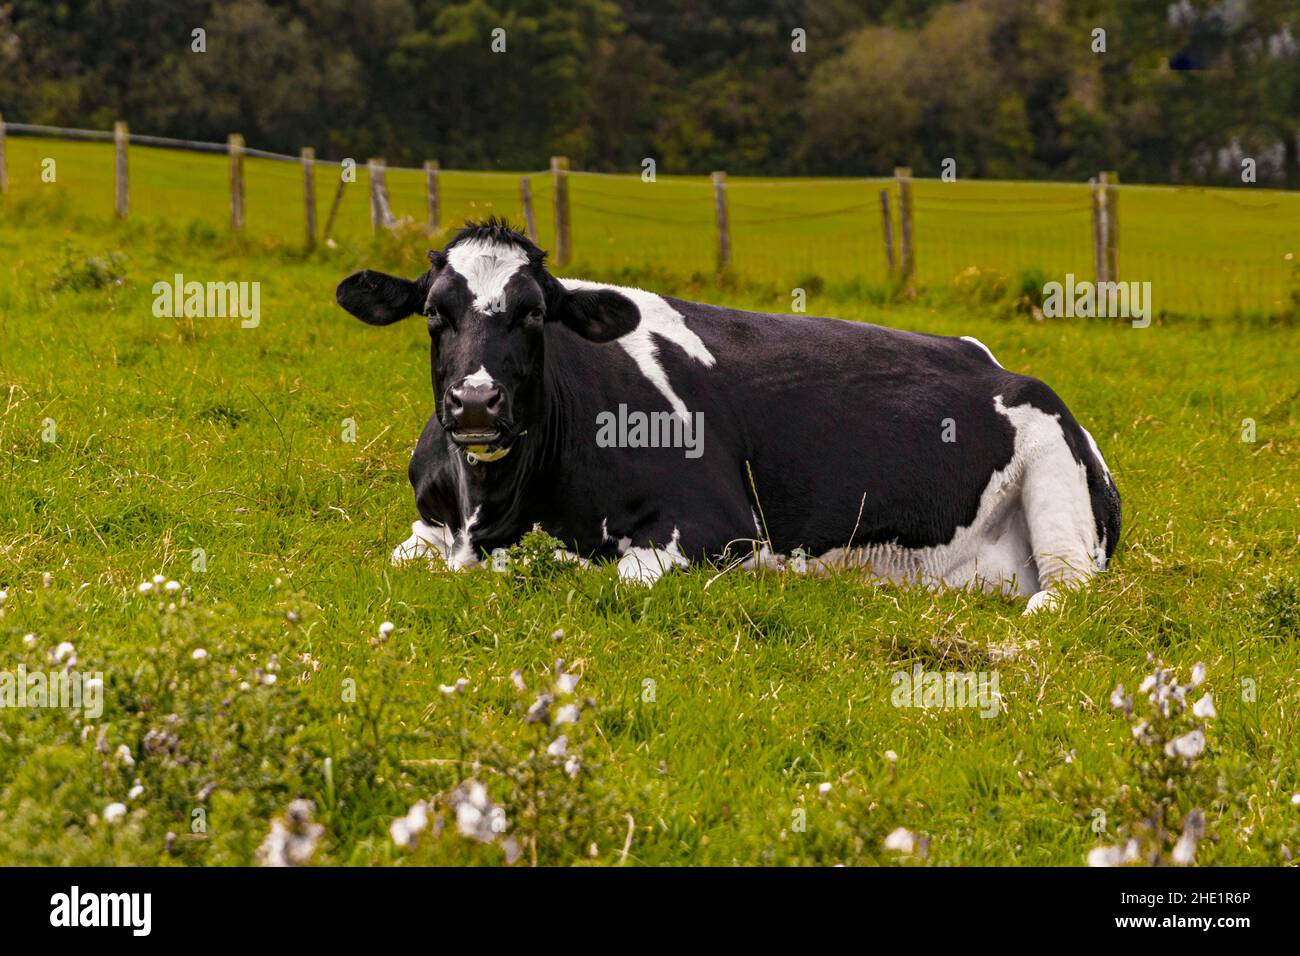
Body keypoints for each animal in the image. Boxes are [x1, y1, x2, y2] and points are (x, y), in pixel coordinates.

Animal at [336, 218, 1120, 614]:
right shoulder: (427, 527)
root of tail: (989, 358)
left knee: (1064, 597)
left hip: (1056, 491)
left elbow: (591, 573)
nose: (475, 401)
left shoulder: (714, 527)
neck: (495, 512)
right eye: (433, 313)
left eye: (533, 314)